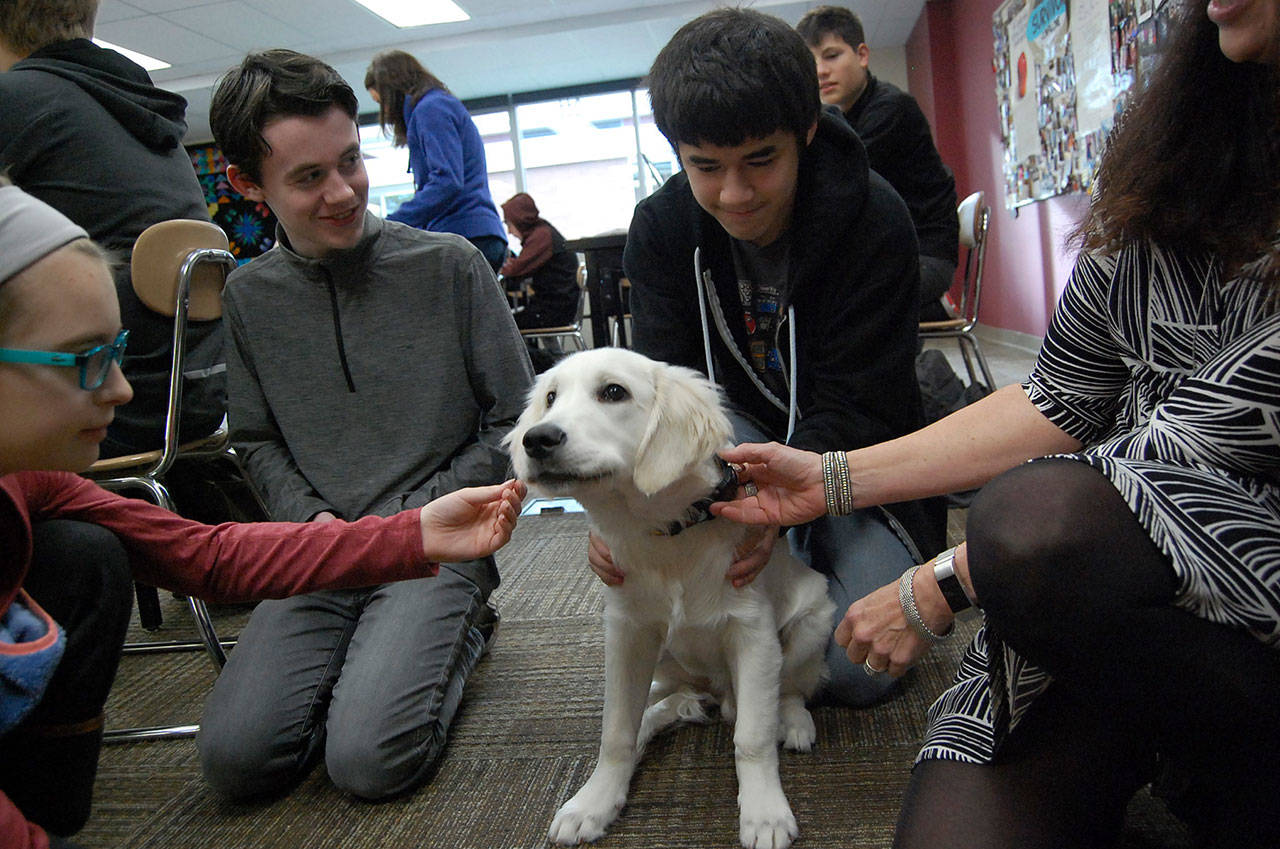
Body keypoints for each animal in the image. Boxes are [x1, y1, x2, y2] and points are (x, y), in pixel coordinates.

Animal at [504, 348, 834, 849]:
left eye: (613, 392)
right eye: (551, 398)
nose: (537, 439)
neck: (668, 535)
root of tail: (716, 690)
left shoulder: (754, 634)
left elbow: (752, 736)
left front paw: (765, 813)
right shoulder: (627, 633)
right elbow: (616, 730)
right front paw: (595, 801)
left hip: (816, 616)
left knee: (793, 688)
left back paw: (793, 722)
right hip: (666, 660)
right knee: (669, 701)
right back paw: (675, 710)